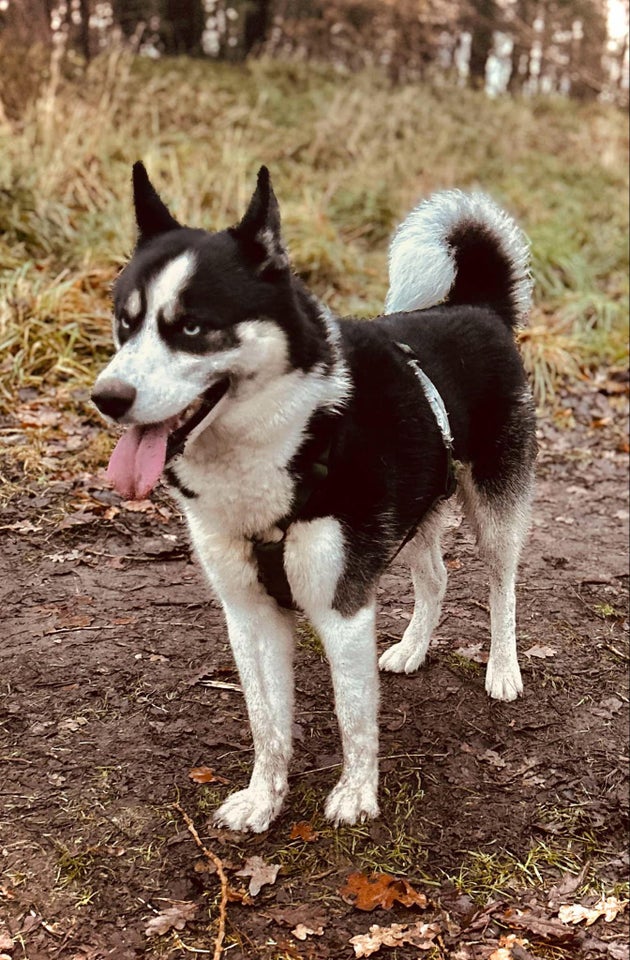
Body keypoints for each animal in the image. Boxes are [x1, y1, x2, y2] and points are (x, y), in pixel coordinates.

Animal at [92, 165, 540, 832]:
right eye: (127, 322)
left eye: (192, 326)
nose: (107, 397)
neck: (289, 438)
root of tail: (475, 305)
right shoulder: (248, 614)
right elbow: (267, 723)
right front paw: (264, 798)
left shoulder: (340, 608)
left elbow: (353, 717)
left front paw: (356, 795)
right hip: (417, 508)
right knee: (435, 577)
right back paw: (412, 649)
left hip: (494, 506)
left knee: (501, 585)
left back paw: (503, 669)